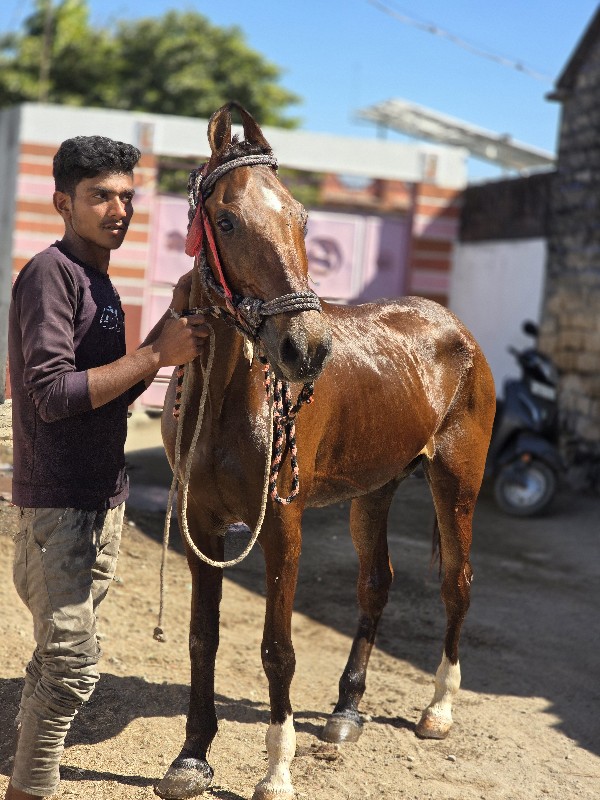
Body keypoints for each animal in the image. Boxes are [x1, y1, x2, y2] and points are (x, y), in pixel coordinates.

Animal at [157, 104, 494, 800]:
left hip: (457, 482)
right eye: (226, 220)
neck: (229, 400)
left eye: (301, 218)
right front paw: (192, 755)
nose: (306, 348)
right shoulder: (201, 521)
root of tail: (456, 330)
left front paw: (276, 770)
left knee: (457, 583)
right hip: (375, 490)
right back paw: (345, 710)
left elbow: (276, 648)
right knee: (376, 584)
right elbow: (203, 637)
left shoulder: (282, 523)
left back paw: (439, 710)